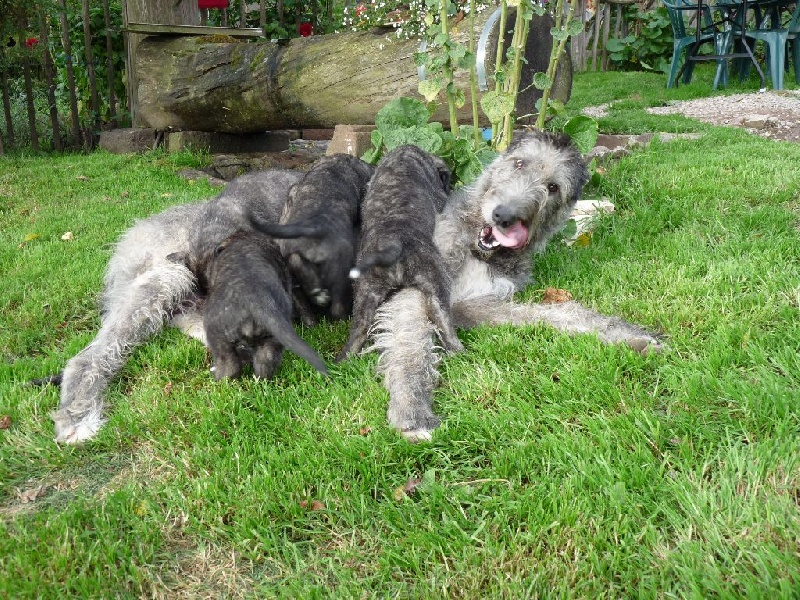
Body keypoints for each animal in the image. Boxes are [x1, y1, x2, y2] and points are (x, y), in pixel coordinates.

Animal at [172, 230, 328, 380]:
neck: (244, 241)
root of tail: (256, 302)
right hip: (272, 338)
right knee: (265, 362)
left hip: (218, 337)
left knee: (229, 366)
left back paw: (218, 377)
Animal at [336, 144, 462, 360]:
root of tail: (393, 244)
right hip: (436, 282)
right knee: (445, 323)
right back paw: (459, 352)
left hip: (366, 293)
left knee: (357, 333)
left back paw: (342, 361)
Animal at [368, 131, 664, 440]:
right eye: (519, 163)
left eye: (553, 187)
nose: (504, 216)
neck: (477, 249)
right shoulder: (420, 279)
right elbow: (409, 341)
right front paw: (412, 407)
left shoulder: (476, 301)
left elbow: (552, 314)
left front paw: (625, 334)